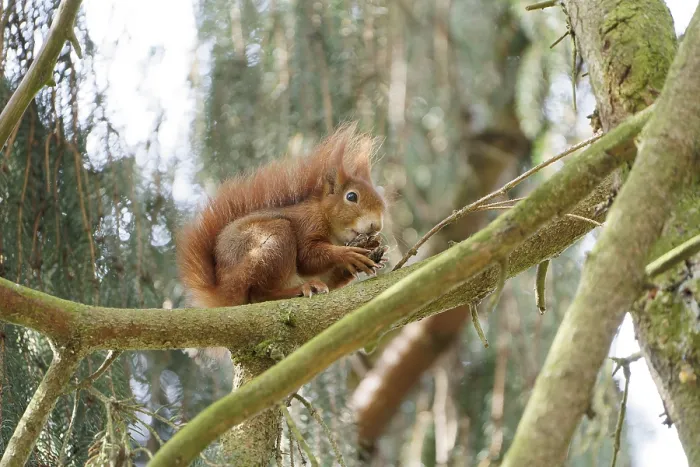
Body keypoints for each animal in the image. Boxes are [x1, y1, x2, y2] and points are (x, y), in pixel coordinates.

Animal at [176, 123, 389, 308]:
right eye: (351, 196)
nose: (376, 226)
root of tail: (223, 291)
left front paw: (372, 251)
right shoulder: (308, 222)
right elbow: (308, 257)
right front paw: (346, 254)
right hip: (273, 241)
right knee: (260, 295)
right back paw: (302, 288)